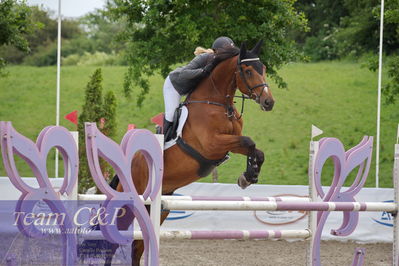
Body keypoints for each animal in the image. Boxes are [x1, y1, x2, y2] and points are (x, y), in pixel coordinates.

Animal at [106, 40, 276, 266]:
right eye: (248, 71)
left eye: (263, 68)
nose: (269, 102)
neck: (218, 103)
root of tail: (128, 160)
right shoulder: (212, 144)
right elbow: (249, 141)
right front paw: (247, 176)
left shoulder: (230, 143)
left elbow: (255, 148)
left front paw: (249, 175)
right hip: (131, 201)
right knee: (113, 240)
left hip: (160, 206)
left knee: (138, 246)